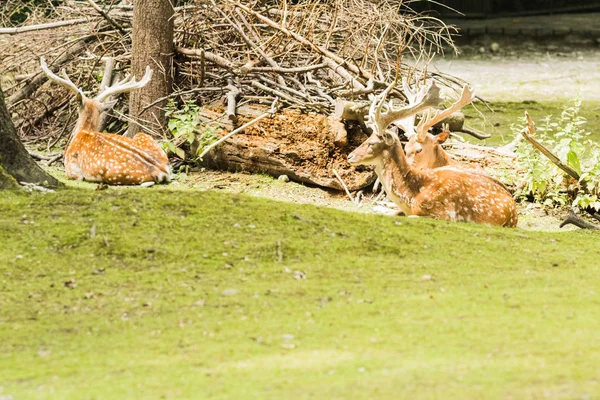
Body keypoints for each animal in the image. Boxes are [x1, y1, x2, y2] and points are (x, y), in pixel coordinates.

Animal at [350, 80, 516, 228]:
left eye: (372, 143)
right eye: (368, 138)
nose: (350, 156)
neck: (411, 197)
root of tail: (514, 211)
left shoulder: (444, 214)